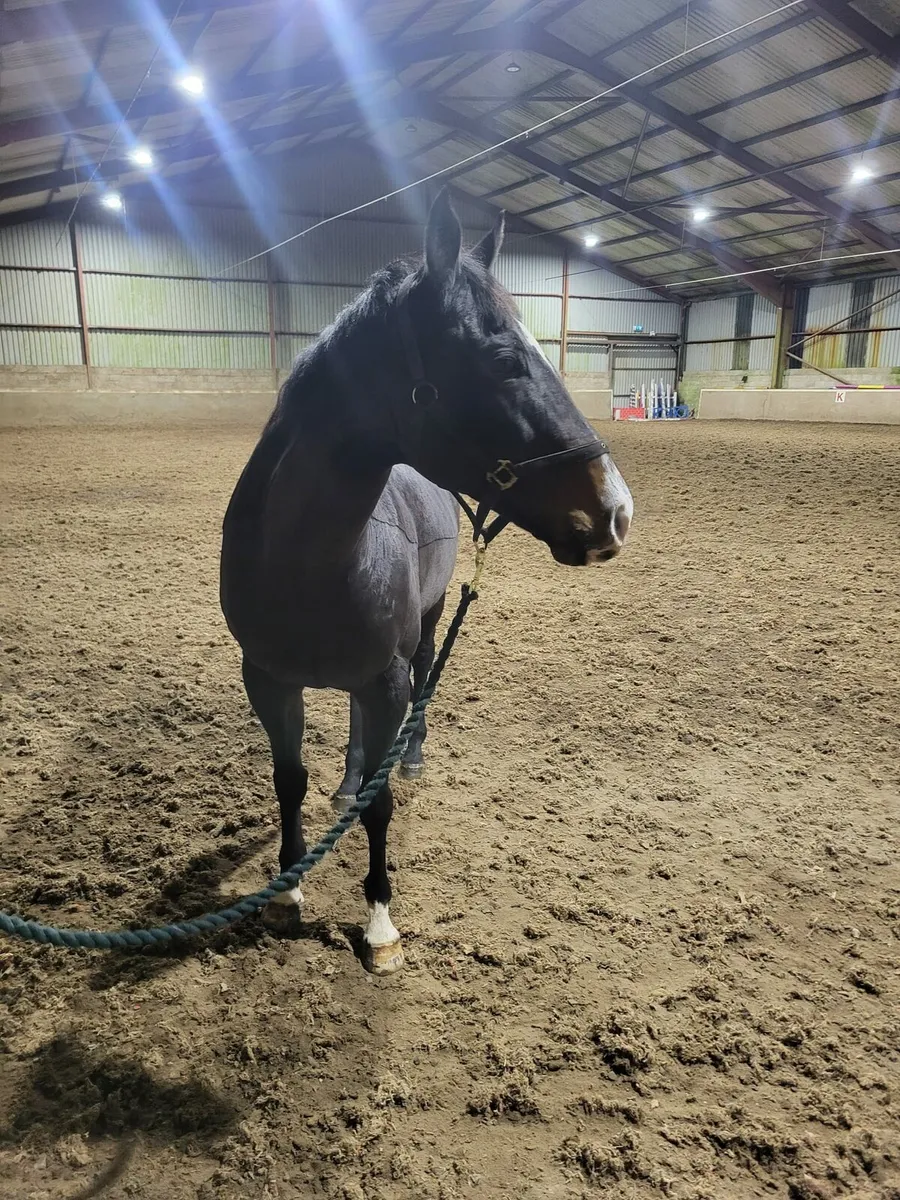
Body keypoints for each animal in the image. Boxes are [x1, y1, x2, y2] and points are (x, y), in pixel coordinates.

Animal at [219, 190, 633, 974]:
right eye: (503, 358)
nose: (614, 511)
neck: (304, 561)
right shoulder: (267, 677)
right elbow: (290, 778)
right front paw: (288, 890)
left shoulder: (385, 676)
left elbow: (381, 804)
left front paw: (380, 925)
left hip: (427, 627)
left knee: (418, 687)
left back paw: (406, 761)